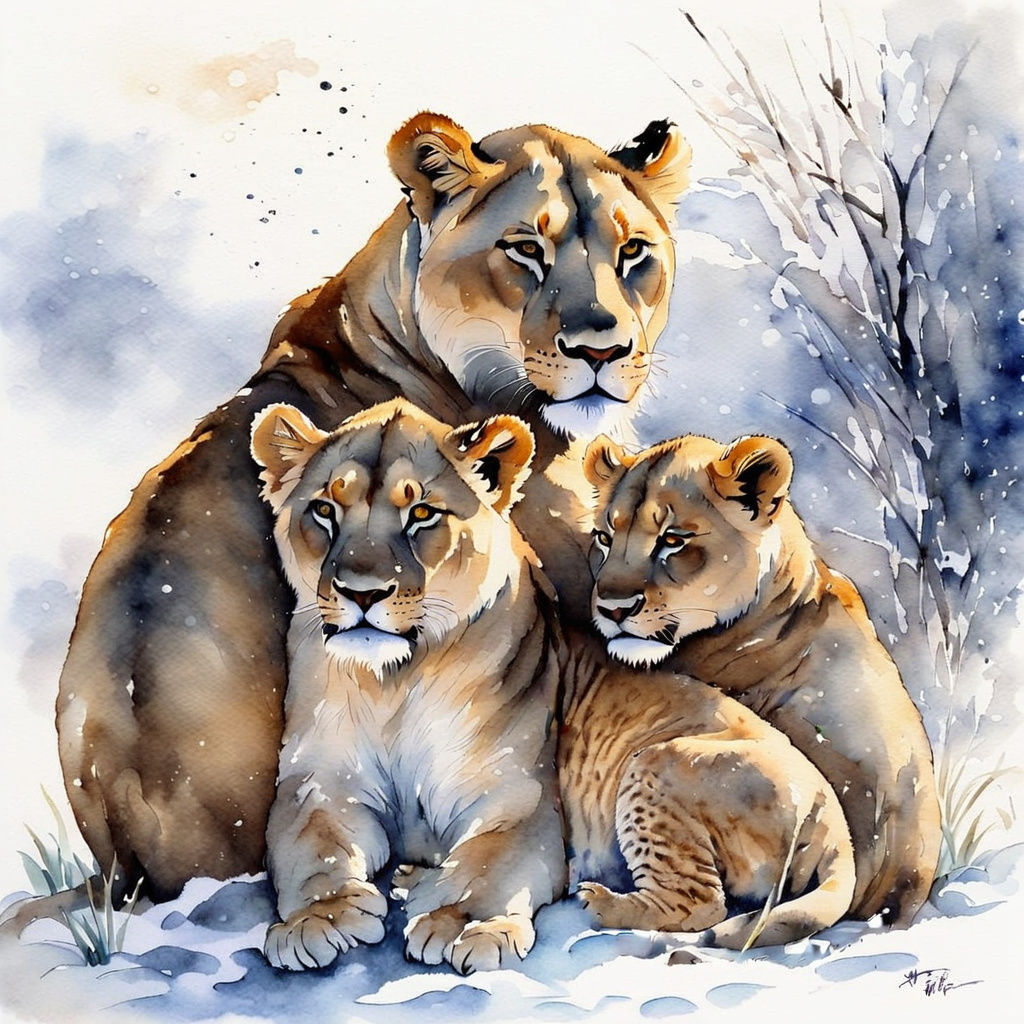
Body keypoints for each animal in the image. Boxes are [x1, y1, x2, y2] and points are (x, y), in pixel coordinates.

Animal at [249, 399, 565, 974]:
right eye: (324, 510)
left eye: (421, 514)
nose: (361, 593)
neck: (394, 685)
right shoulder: (319, 780)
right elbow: (312, 846)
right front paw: (319, 919)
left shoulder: (519, 795)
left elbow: (491, 865)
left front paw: (460, 925)